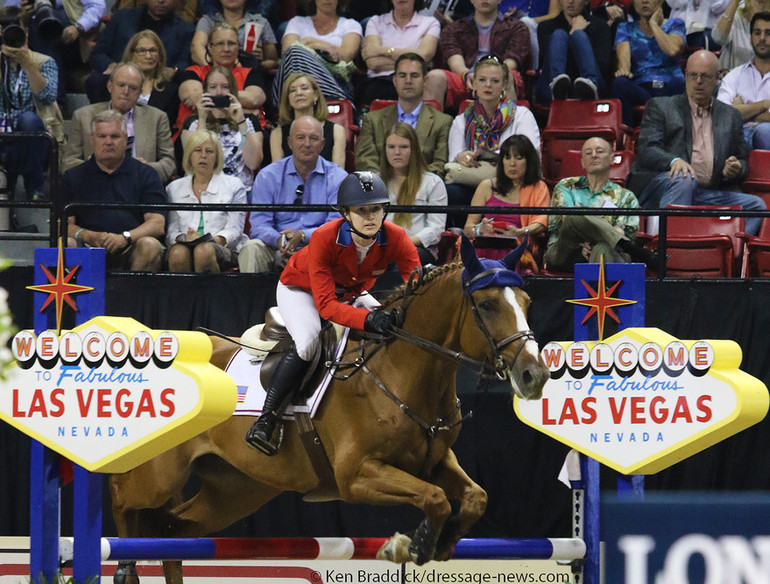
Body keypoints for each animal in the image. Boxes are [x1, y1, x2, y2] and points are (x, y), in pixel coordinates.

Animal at [108, 235, 548, 580]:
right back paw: (123, 565)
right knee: (125, 503)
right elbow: (435, 497)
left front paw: (440, 541)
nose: (535, 375)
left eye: (527, 301)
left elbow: (475, 496)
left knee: (173, 532)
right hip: (158, 477)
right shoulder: (356, 475)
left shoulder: (434, 463)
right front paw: (411, 545)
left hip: (236, 489)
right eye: (487, 305)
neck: (403, 371)